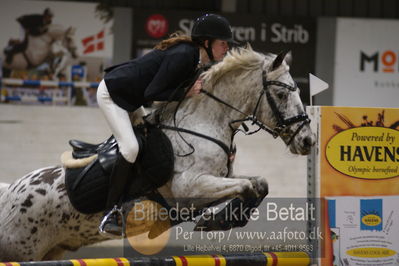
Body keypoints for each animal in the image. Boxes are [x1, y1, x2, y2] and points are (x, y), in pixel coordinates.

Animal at [0, 46, 314, 262]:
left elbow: (258, 183)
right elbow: (249, 186)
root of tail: (10, 191)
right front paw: (218, 220)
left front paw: (221, 218)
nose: (308, 140)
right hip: (20, 250)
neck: (204, 123)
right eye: (282, 95)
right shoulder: (189, 187)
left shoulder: (216, 181)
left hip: (50, 251)